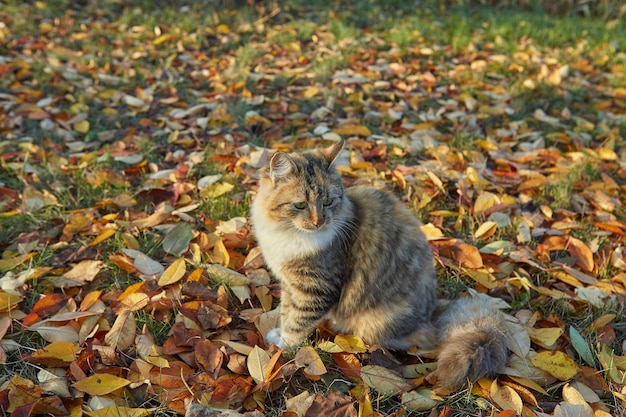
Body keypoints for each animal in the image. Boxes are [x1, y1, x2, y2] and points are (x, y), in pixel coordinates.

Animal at [250, 139, 508, 390]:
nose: (319, 222)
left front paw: (284, 346)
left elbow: (298, 322)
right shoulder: (289, 283)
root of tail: (433, 311)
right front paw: (280, 333)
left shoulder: (316, 288)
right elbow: (287, 312)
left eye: (328, 202)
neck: (288, 235)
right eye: (301, 205)